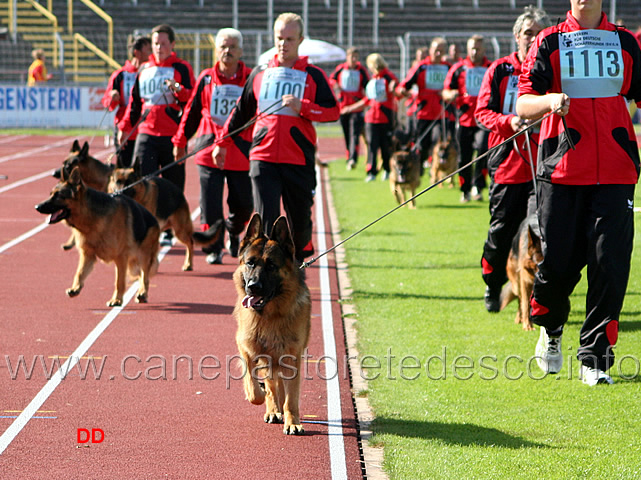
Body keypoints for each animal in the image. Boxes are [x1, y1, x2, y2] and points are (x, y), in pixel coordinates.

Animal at [36, 167, 160, 306]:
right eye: (51, 194)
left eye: (59, 195)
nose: (37, 207)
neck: (90, 218)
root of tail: (155, 220)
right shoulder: (88, 255)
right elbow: (79, 273)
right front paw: (75, 288)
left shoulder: (121, 258)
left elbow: (119, 282)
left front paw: (116, 300)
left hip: (143, 256)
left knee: (145, 276)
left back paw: (142, 293)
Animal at [232, 214, 312, 436]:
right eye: (250, 263)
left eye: (271, 266)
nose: (253, 287)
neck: (269, 317)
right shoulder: (246, 348)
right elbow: (255, 387)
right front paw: (261, 396)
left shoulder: (291, 359)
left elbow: (291, 399)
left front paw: (292, 422)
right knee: (271, 384)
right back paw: (273, 409)